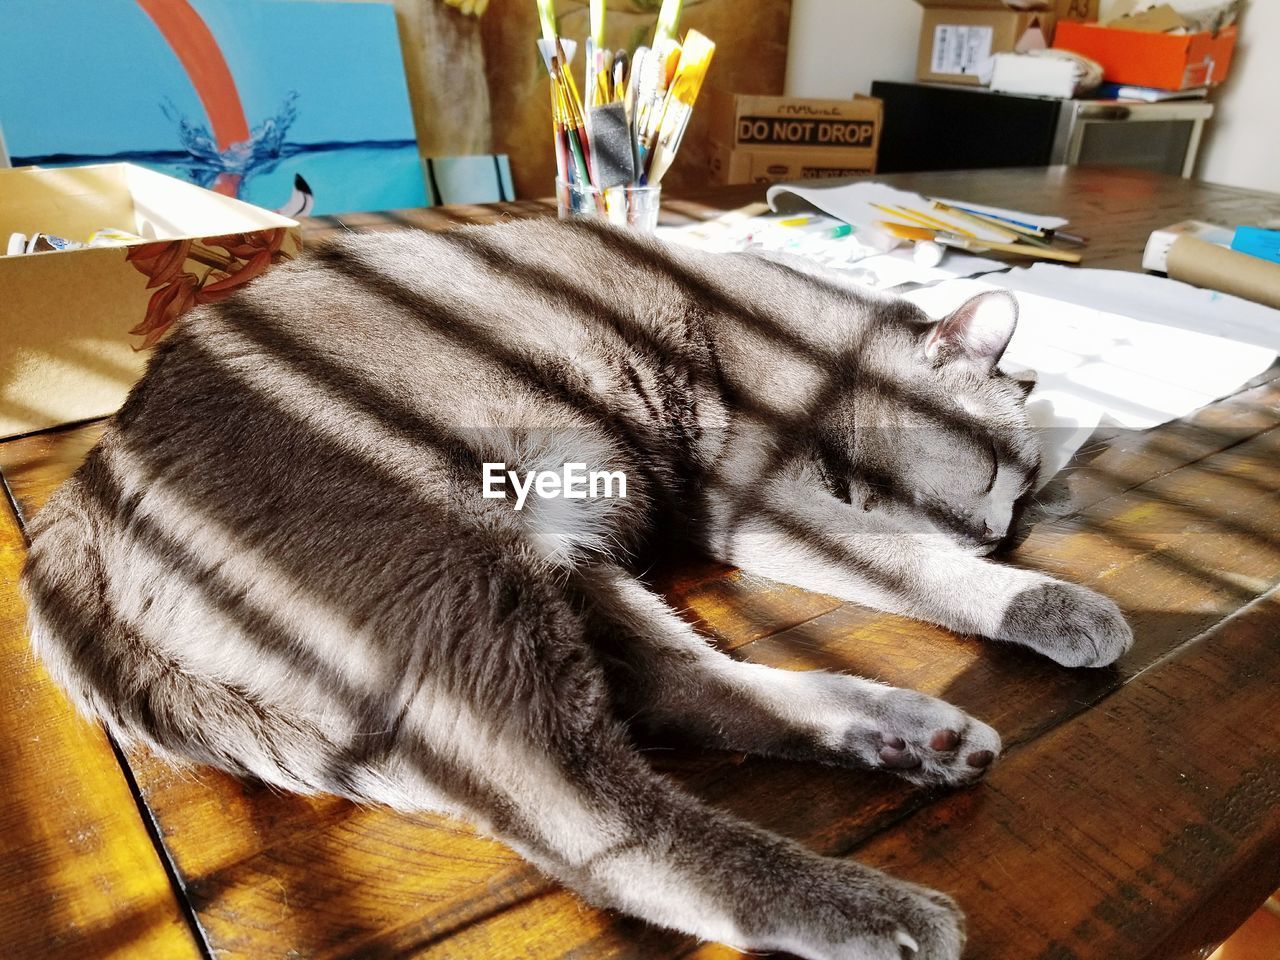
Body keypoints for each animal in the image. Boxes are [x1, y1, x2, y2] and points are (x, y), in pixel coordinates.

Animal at [22, 220, 1131, 960]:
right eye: (992, 469)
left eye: (1020, 502)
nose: (997, 533)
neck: (820, 341)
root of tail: (79, 503)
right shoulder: (761, 504)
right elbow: (910, 560)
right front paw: (1050, 603)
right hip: (456, 561)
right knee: (578, 810)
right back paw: (869, 909)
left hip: (562, 551)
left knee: (678, 687)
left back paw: (908, 738)